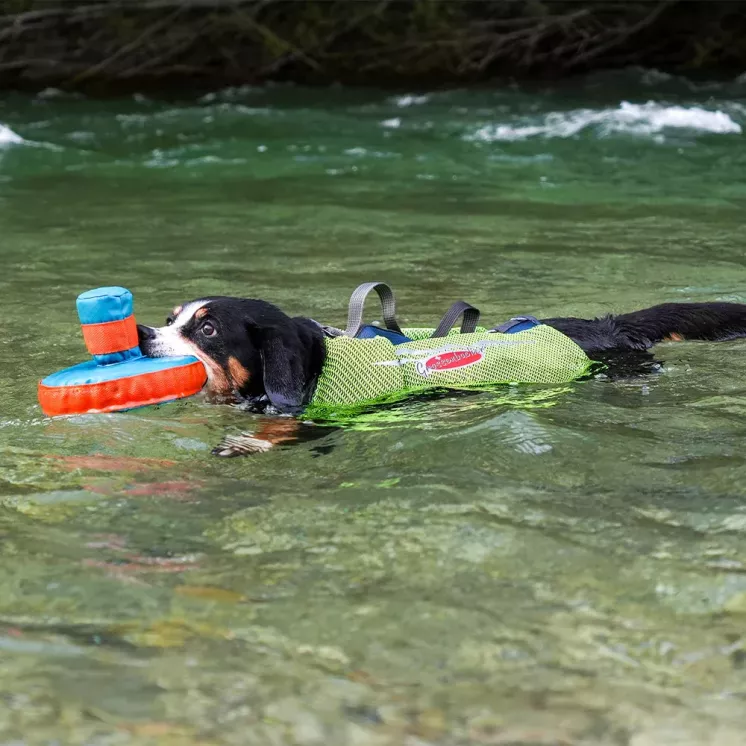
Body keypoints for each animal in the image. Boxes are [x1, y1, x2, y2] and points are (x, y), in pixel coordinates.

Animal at [135, 296, 746, 454]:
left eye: (207, 329)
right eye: (170, 318)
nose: (141, 333)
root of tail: (605, 324)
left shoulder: (322, 418)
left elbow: (281, 427)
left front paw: (246, 442)